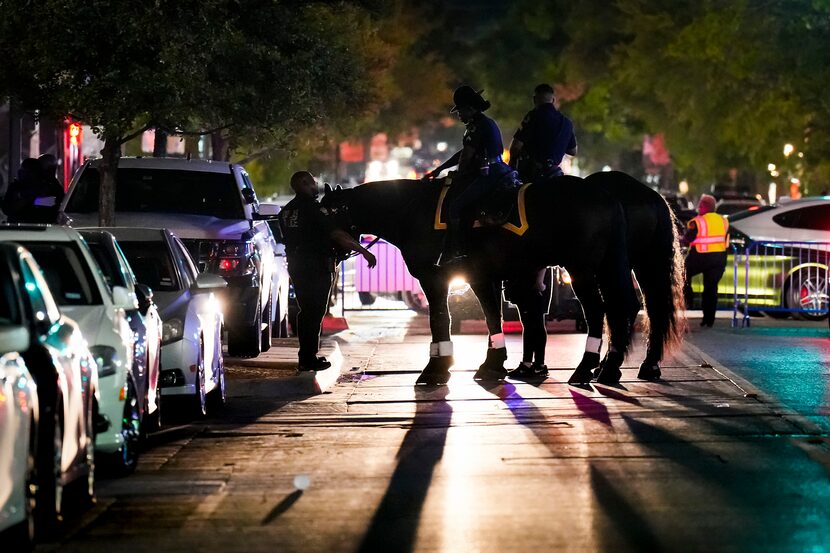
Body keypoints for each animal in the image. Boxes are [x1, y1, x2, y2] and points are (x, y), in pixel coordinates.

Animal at [322, 176, 640, 384]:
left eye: (327, 214)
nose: (328, 251)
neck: (410, 209)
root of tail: (607, 197)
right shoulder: (483, 278)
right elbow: (492, 316)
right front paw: (493, 364)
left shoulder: (435, 277)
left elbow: (441, 318)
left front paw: (436, 368)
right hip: (606, 267)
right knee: (619, 307)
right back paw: (607, 369)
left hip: (581, 268)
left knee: (597, 310)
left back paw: (585, 368)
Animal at [510, 170, 684, 382]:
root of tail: (651, 197)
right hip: (642, 263)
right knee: (648, 307)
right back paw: (644, 365)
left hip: (607, 266)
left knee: (620, 306)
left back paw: (606, 367)